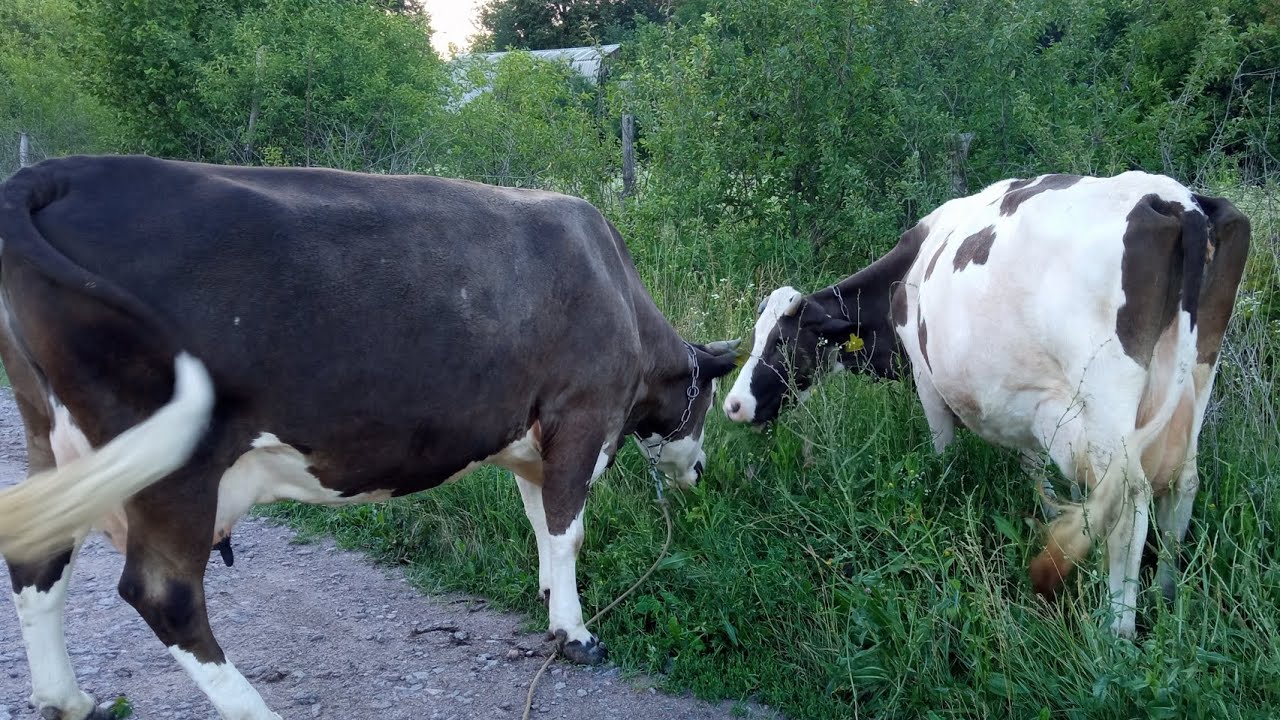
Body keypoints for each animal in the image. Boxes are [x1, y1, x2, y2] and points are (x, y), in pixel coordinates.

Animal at [0, 154, 742, 720]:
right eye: (706, 404)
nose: (701, 472)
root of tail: (59, 171)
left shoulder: (532, 441)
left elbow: (541, 521)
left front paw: (546, 597)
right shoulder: (582, 416)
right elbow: (568, 530)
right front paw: (576, 631)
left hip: (59, 445)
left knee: (38, 560)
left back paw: (67, 700)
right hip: (174, 468)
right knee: (164, 593)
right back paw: (253, 711)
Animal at [722, 171, 1250, 638]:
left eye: (782, 344)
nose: (733, 404)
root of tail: (1177, 200)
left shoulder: (927, 379)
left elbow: (943, 453)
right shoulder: (1029, 402)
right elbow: (1033, 469)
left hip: (1107, 405)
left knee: (1130, 506)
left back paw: (1115, 631)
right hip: (1193, 385)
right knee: (1182, 486)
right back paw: (1166, 596)